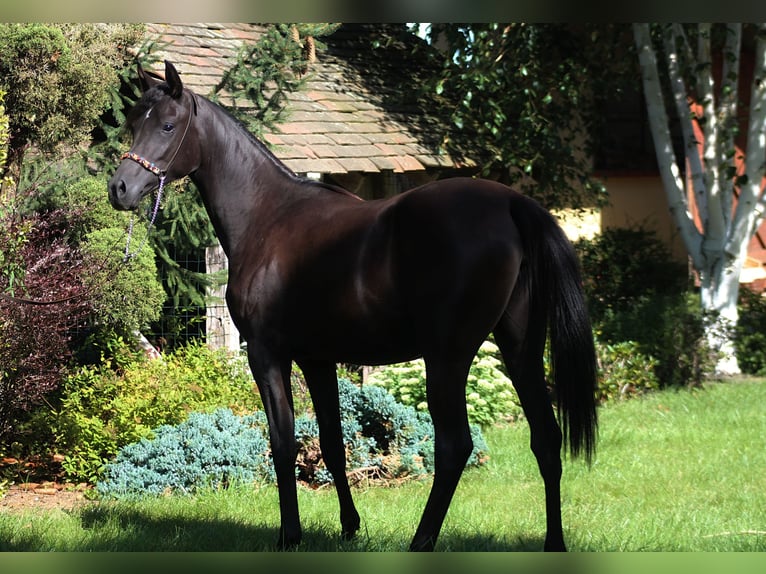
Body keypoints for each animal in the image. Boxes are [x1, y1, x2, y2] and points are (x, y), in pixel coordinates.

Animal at [108, 60, 598, 552]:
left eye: (168, 125)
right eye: (133, 123)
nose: (120, 188)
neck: (268, 216)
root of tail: (512, 204)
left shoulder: (268, 354)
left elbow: (283, 444)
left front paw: (290, 535)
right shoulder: (318, 359)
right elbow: (331, 443)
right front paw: (348, 526)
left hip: (448, 356)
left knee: (454, 445)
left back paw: (421, 542)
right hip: (520, 348)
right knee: (546, 438)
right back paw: (553, 543)